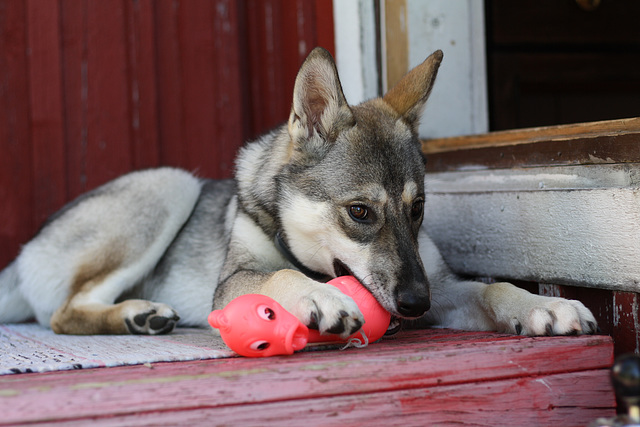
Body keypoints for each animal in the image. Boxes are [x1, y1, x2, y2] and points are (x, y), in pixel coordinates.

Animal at [0, 46, 596, 342]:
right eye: (360, 212)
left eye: (419, 209)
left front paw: (543, 306)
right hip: (167, 183)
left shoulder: (438, 284)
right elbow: (280, 276)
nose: (414, 306)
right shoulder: (233, 284)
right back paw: (134, 315)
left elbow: (492, 288)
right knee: (62, 314)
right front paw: (320, 297)